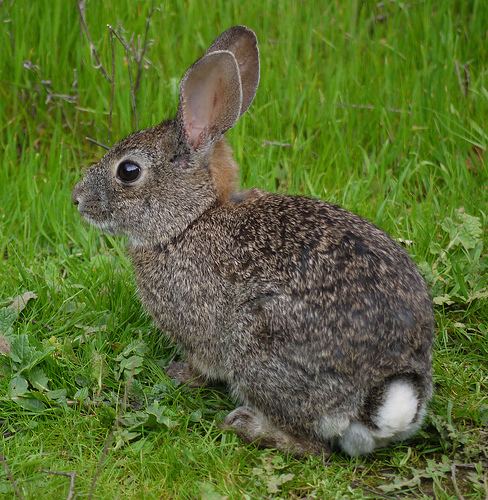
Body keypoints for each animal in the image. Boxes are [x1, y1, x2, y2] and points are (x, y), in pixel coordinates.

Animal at [73, 26, 434, 458]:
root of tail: (383, 392)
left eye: (128, 171)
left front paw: (180, 373)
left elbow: (201, 363)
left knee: (315, 446)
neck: (191, 221)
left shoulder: (199, 327)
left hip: (257, 346)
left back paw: (248, 425)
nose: (77, 199)